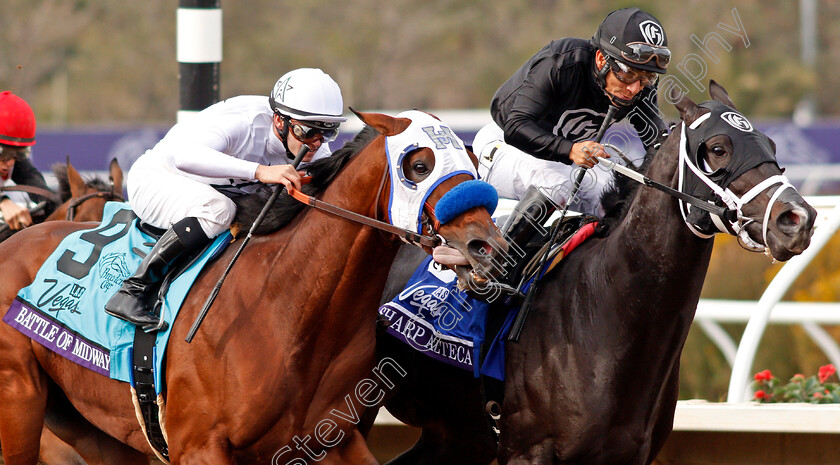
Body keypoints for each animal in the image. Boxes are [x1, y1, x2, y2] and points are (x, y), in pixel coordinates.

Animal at [0, 110, 506, 462]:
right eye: (418, 165)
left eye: (474, 162)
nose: (487, 246)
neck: (288, 308)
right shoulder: (199, 447)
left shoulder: (329, 440)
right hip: (20, 405)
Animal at [370, 82, 816, 464]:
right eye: (719, 148)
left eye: (771, 144)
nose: (797, 219)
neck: (604, 308)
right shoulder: (526, 451)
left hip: (456, 434)